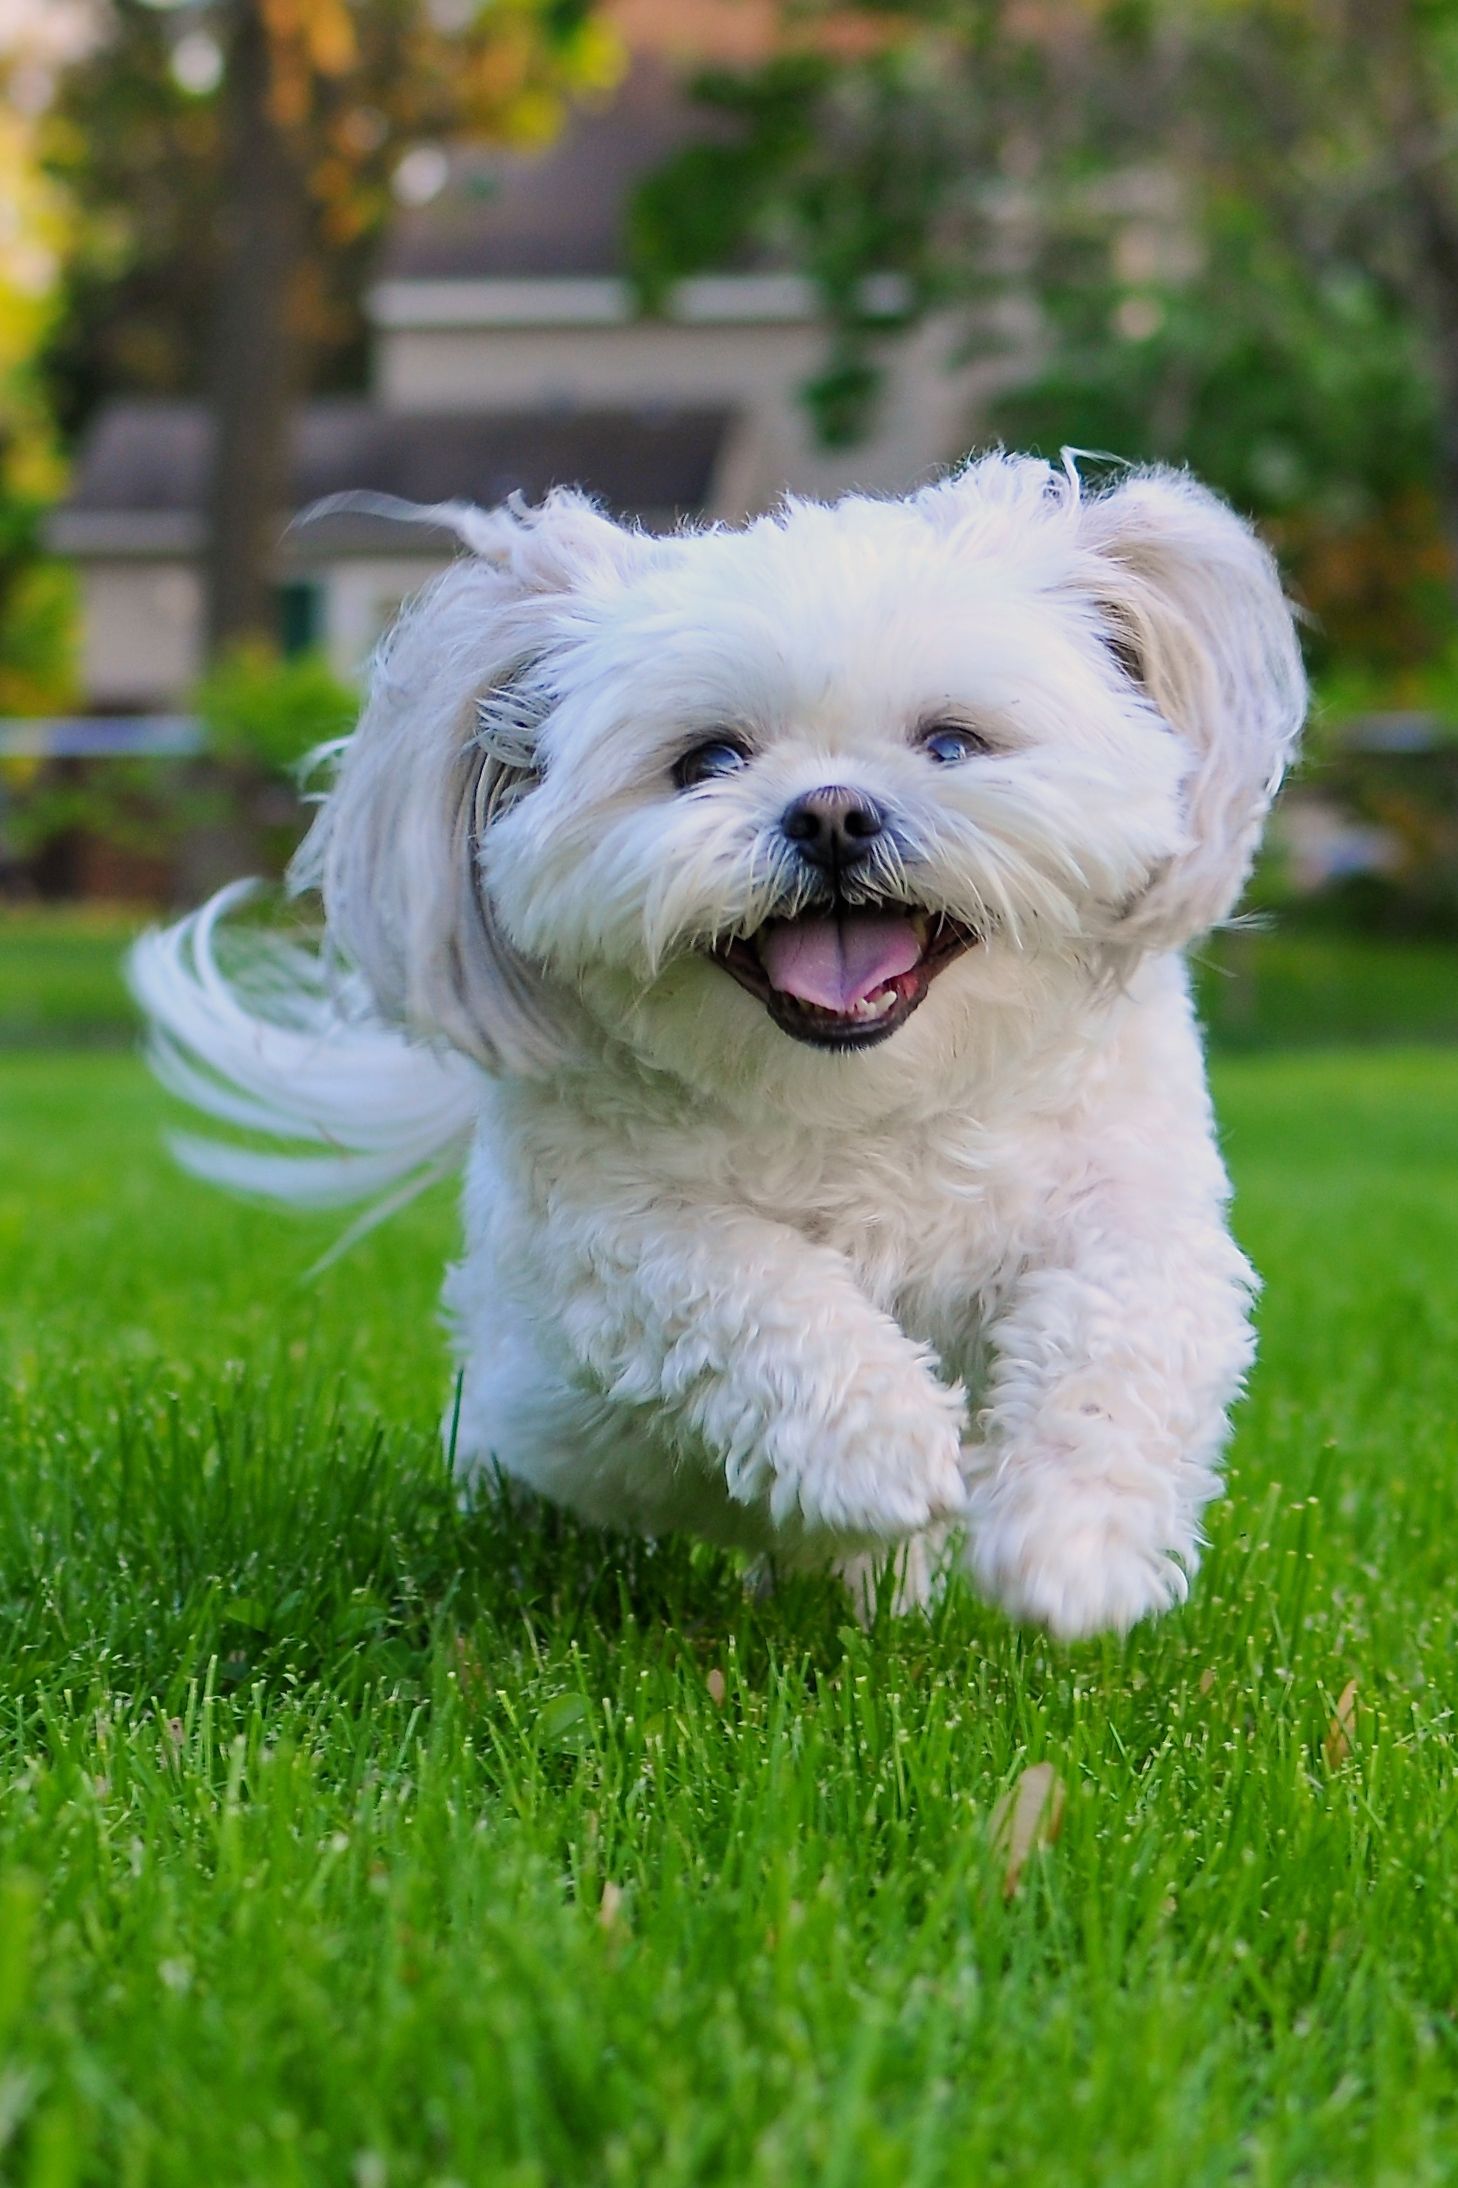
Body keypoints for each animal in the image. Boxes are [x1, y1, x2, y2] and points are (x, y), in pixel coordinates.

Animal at [130, 448, 1296, 1645]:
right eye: (707, 760)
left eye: (951, 743)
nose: (832, 812)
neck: (865, 1102)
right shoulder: (617, 1228)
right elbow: (751, 1285)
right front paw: (883, 1445)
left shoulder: (1130, 1197)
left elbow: (1123, 1331)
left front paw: (1076, 1544)